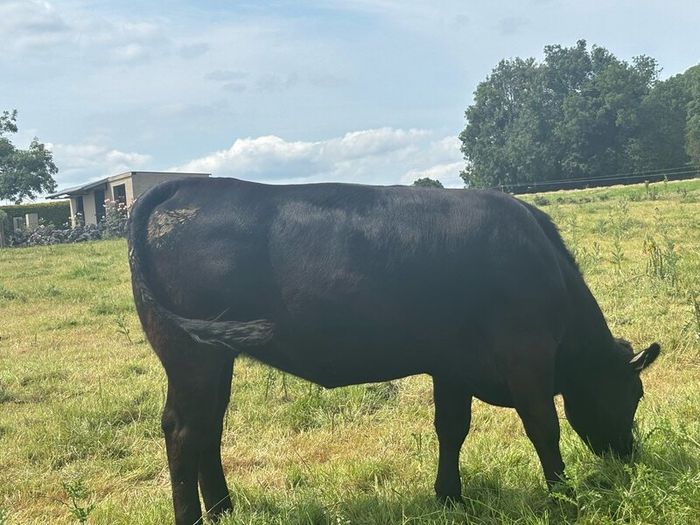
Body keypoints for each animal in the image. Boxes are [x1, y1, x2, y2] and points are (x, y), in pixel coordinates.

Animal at [128, 177, 660, 524]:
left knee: (209, 428)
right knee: (183, 430)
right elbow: (544, 428)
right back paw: (194, 518)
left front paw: (449, 498)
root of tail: (185, 185)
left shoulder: (453, 365)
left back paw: (223, 510)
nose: (628, 457)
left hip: (215, 357)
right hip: (191, 356)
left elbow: (452, 428)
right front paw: (564, 497)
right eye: (633, 395)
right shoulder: (526, 356)